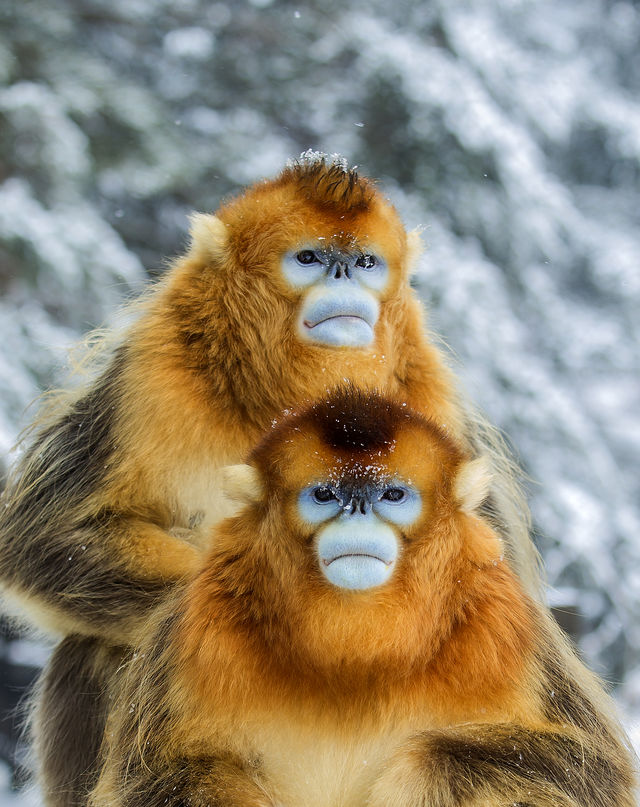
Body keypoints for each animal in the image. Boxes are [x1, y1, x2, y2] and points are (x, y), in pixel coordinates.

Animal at [87, 390, 636, 800]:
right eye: (324, 494)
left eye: (392, 495)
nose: (357, 516)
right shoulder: (197, 624)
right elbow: (152, 779)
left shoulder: (502, 620)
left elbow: (594, 773)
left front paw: (413, 776)